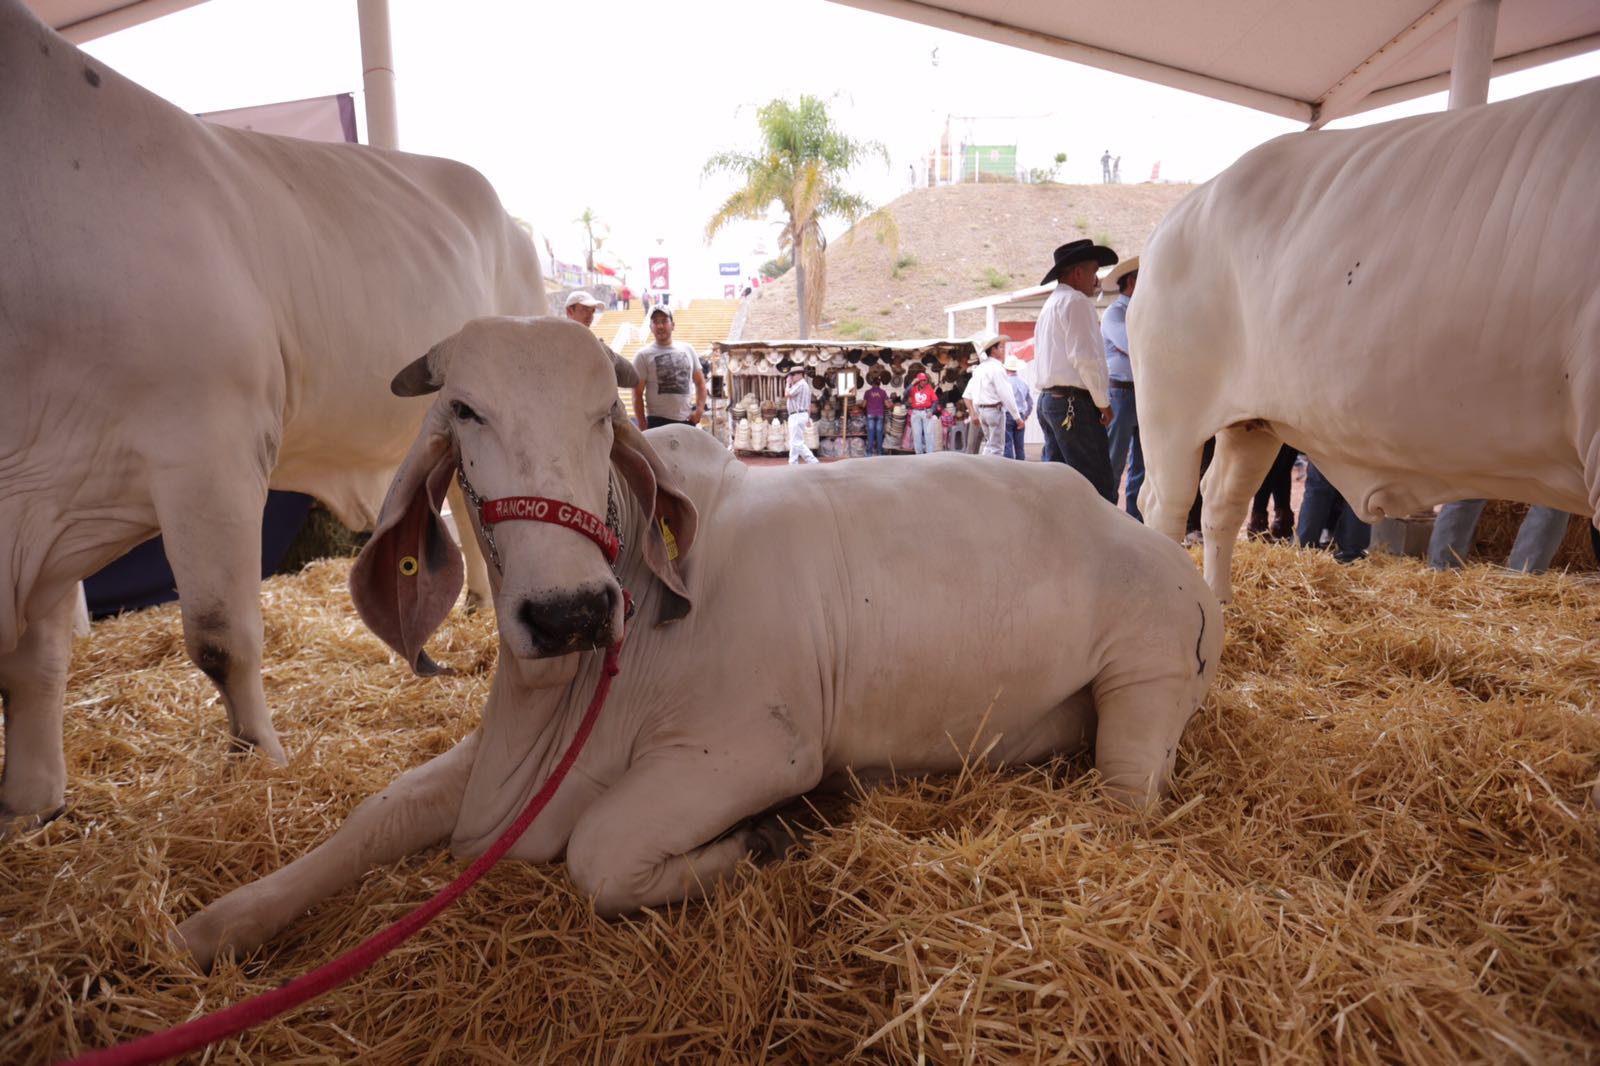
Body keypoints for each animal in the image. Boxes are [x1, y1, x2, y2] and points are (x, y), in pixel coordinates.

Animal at [175, 313, 1216, 960]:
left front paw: (761, 840)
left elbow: (599, 852)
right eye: (464, 410)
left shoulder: (754, 751)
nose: (570, 611)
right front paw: (218, 924)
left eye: (605, 416)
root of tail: (1150, 541)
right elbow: (377, 813)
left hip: (1146, 680)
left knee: (1125, 798)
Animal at [1132, 76, 1600, 598]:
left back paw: (1220, 605)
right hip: (1168, 411)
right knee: (1165, 506)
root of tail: (1180, 213)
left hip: (1250, 424)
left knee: (1220, 503)